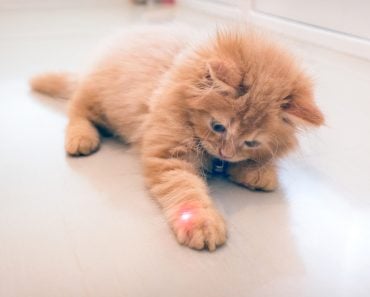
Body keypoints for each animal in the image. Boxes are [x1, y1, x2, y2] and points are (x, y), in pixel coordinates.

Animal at [30, 27, 324, 250]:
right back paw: (82, 138)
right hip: (95, 100)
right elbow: (186, 189)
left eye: (251, 142)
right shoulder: (168, 155)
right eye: (218, 126)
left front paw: (259, 172)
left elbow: (254, 162)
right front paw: (201, 223)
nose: (226, 153)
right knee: (75, 112)